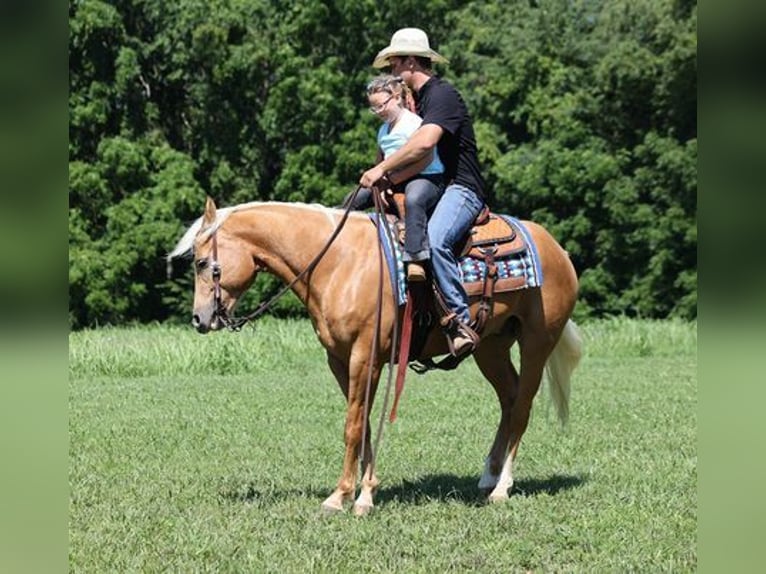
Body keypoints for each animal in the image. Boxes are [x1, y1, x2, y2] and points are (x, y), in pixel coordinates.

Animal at [171, 197, 584, 516]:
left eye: (202, 263)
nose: (199, 319)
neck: (337, 263)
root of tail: (556, 248)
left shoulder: (364, 357)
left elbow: (353, 426)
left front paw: (340, 497)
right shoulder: (340, 361)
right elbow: (364, 423)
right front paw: (365, 492)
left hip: (537, 342)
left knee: (523, 406)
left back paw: (502, 487)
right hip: (491, 347)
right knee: (509, 398)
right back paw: (489, 475)